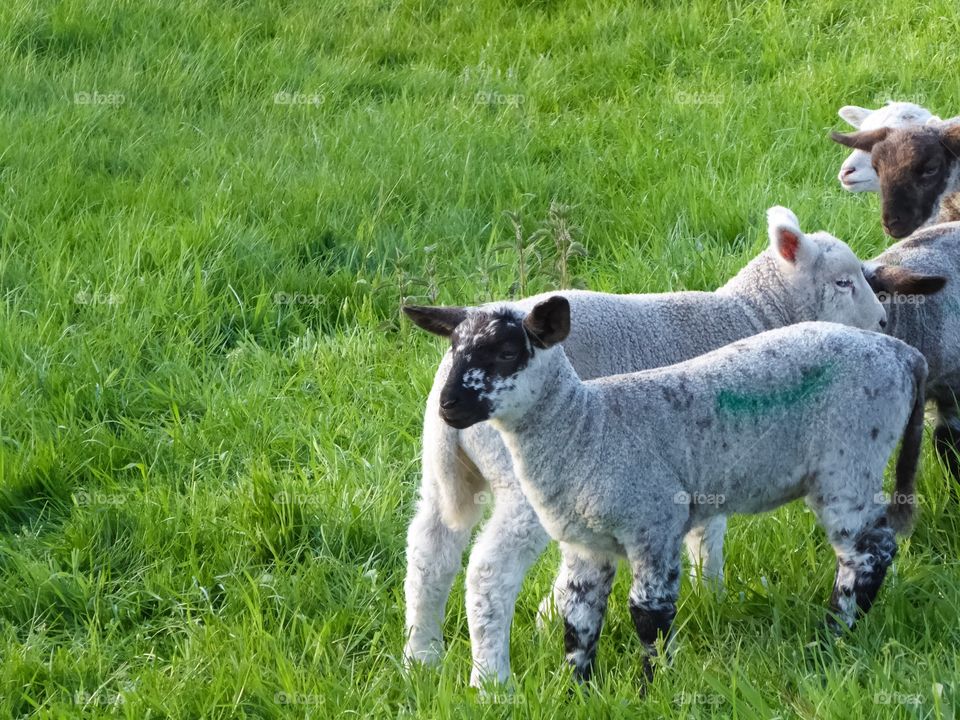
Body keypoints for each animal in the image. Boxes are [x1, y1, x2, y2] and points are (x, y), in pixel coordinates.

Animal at [401, 207, 945, 687]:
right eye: (842, 282)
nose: (881, 324)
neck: (752, 311)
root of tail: (443, 402)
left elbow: (701, 533)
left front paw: (710, 596)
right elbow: (708, 535)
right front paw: (711, 592)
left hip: (446, 473)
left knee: (430, 554)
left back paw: (421, 659)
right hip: (520, 486)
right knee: (488, 572)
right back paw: (491, 680)